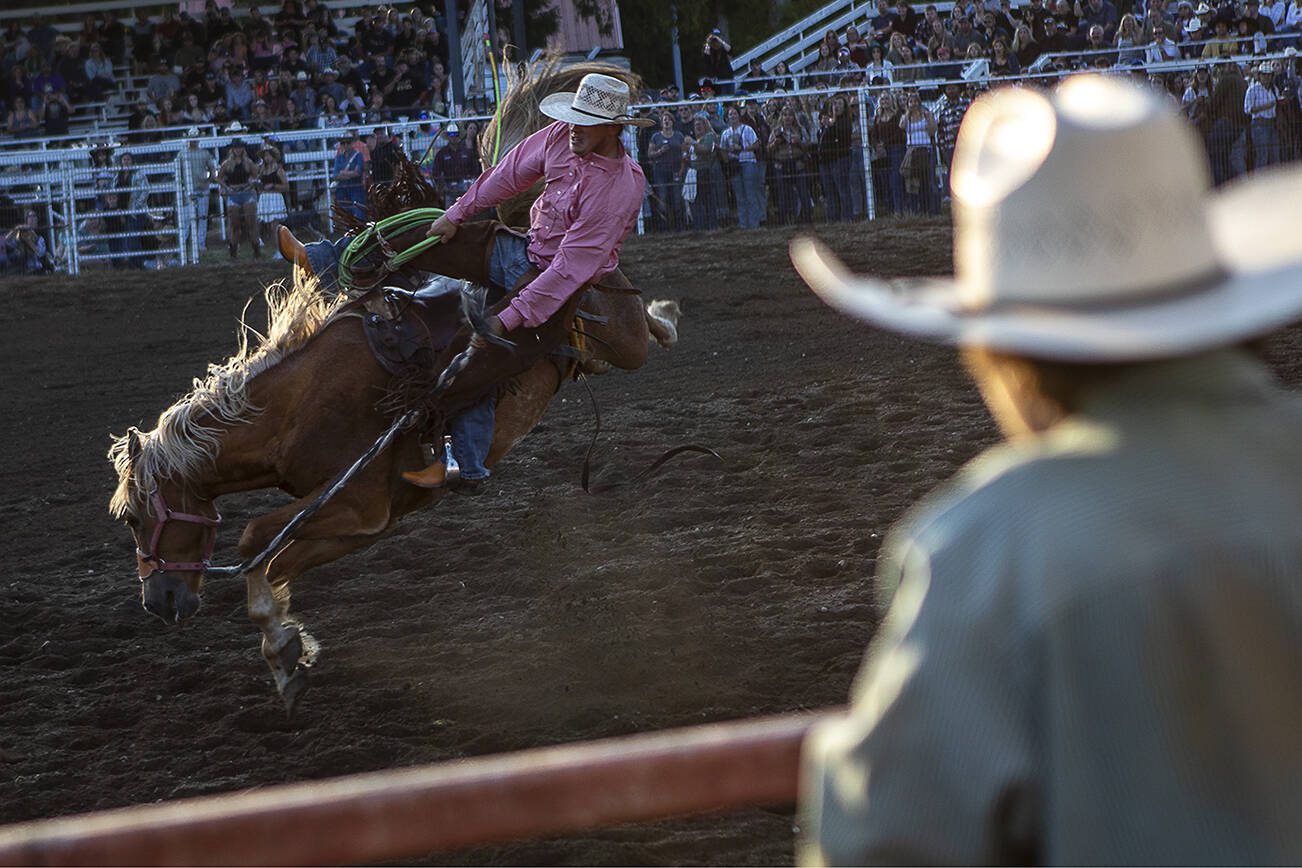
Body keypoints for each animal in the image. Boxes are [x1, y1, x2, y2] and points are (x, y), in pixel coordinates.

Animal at [109, 62, 682, 713]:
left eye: (134, 519)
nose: (159, 604)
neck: (297, 408)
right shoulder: (367, 520)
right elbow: (273, 562)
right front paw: (286, 646)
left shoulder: (358, 501)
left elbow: (255, 539)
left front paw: (281, 649)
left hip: (611, 323)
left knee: (631, 322)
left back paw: (658, 316)